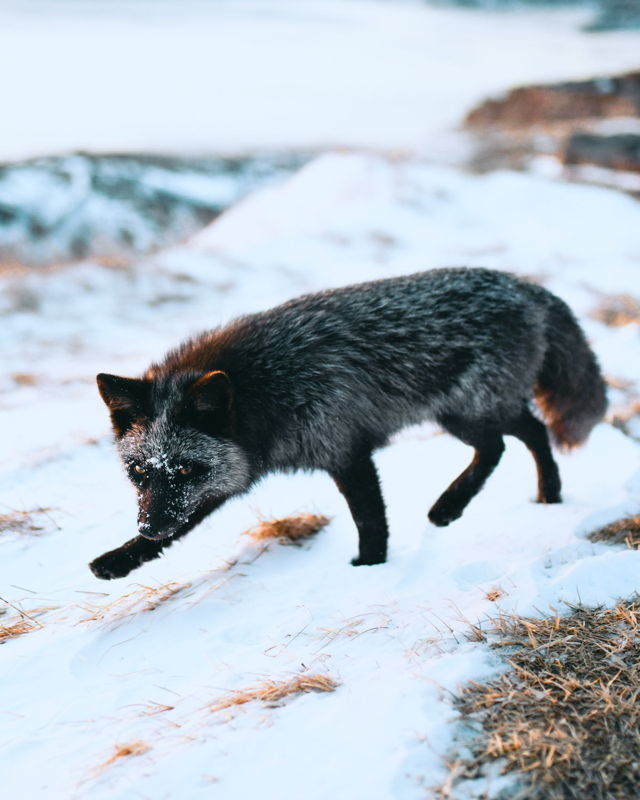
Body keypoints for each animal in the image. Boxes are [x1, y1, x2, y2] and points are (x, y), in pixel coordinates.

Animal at [90, 267, 607, 580]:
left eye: (184, 468)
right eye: (139, 473)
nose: (148, 526)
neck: (263, 387)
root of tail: (522, 284)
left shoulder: (345, 450)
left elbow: (370, 519)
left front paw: (370, 568)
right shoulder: (229, 472)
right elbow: (185, 524)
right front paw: (121, 559)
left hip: (467, 412)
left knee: (508, 441)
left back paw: (452, 506)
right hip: (470, 412)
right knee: (527, 433)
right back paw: (546, 495)